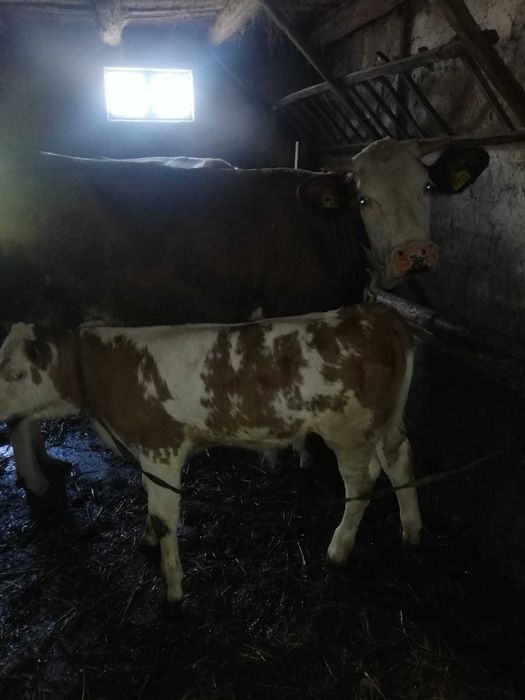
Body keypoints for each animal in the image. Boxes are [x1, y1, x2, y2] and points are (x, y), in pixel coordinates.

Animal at [0, 137, 488, 511]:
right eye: (365, 200)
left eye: (427, 186)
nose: (415, 253)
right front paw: (296, 454)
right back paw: (37, 485)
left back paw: (48, 467)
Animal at [0, 303, 421, 602]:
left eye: (16, 374)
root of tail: (375, 313)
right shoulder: (148, 453)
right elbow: (149, 501)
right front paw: (147, 541)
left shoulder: (162, 446)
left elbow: (164, 517)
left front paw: (173, 588)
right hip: (376, 426)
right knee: (396, 460)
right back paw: (411, 529)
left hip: (347, 430)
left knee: (361, 487)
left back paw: (339, 548)